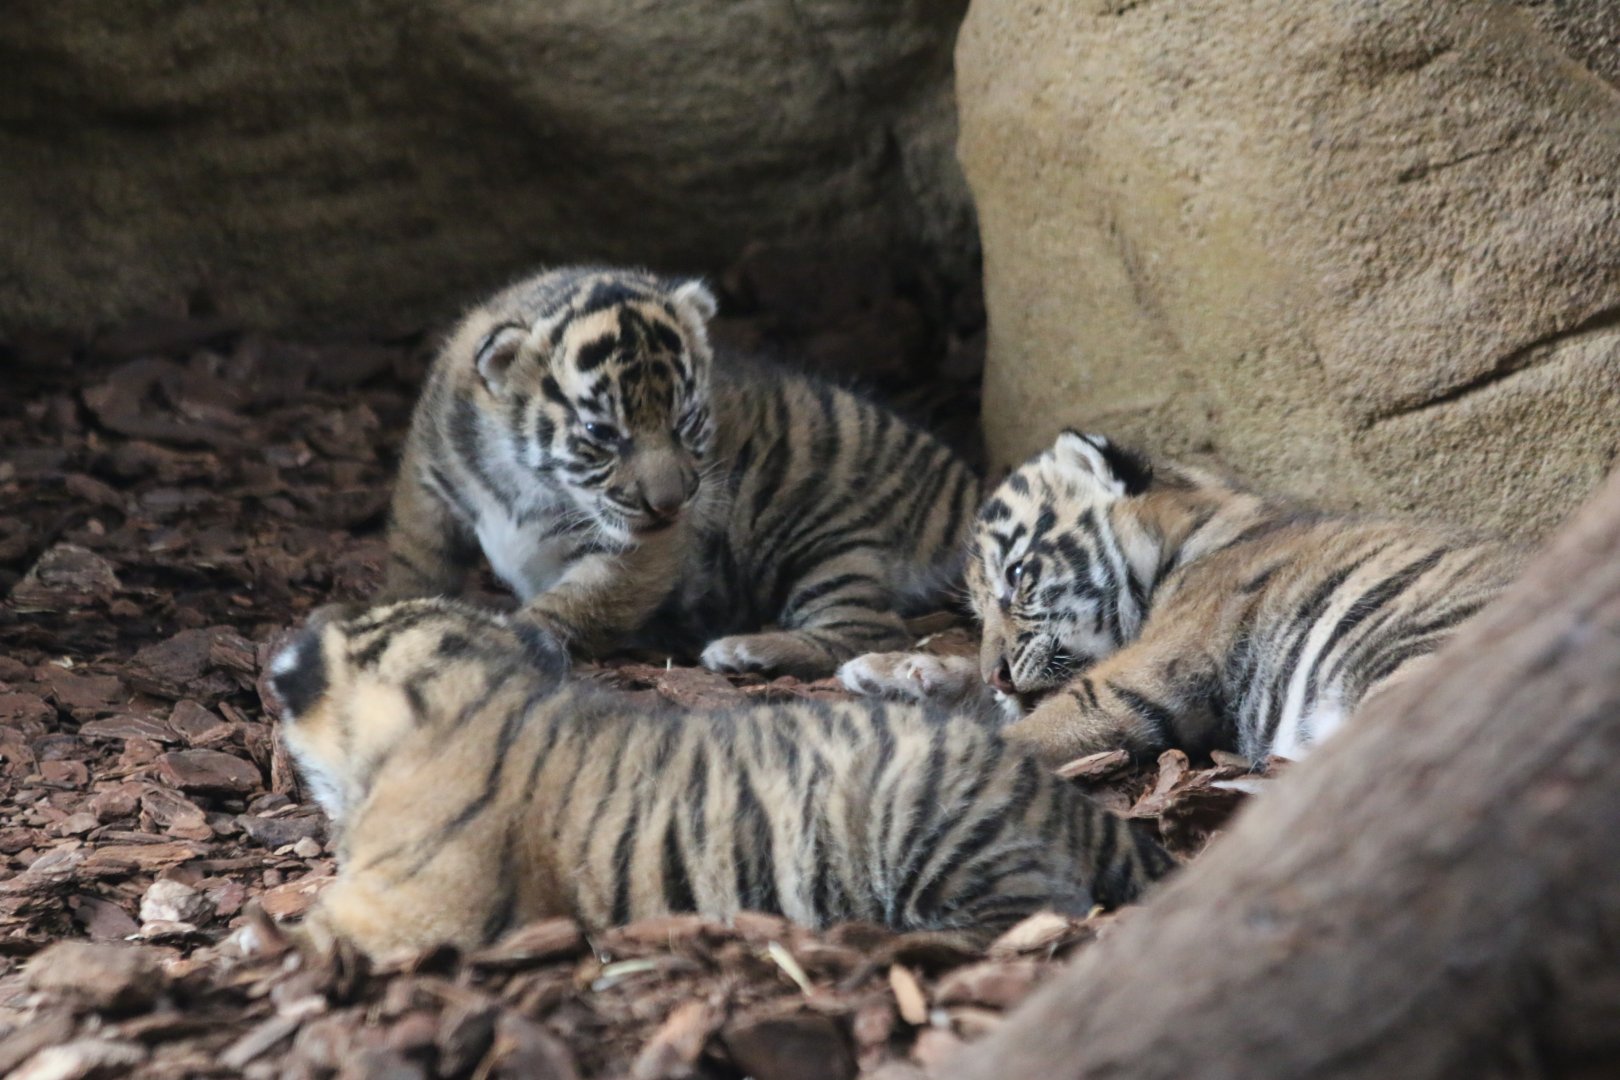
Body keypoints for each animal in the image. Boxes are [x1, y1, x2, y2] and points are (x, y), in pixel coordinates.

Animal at [265, 598, 1176, 961]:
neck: (472, 688)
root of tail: (1057, 796)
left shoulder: (409, 907)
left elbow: (307, 935)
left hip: (935, 835)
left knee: (1036, 913)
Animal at [379, 266, 981, 678]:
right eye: (601, 433)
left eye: (686, 421)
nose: (669, 504)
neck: (526, 482)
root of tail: (965, 491)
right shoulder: (428, 487)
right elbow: (414, 562)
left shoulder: (641, 552)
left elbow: (577, 602)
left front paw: (504, 639)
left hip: (817, 535)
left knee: (866, 630)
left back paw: (746, 650)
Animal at [840, 430, 1523, 767]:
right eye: (977, 612)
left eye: (1017, 575)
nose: (1000, 674)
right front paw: (888, 672)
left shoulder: (1148, 671)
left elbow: (1038, 723)